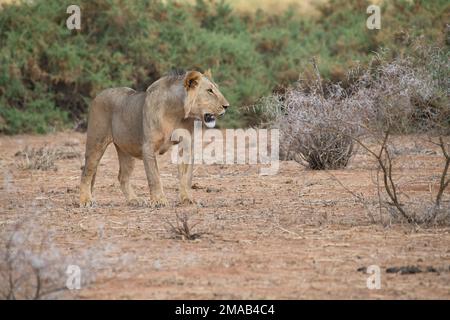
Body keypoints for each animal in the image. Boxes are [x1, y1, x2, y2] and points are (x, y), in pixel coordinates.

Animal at [78, 70, 230, 208]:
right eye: (210, 91)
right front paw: (159, 200)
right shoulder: (148, 146)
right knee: (87, 172)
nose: (227, 106)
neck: (178, 114)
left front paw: (187, 199)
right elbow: (154, 177)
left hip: (126, 150)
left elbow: (186, 177)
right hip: (96, 142)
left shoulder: (186, 146)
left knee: (122, 177)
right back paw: (86, 200)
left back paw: (134, 200)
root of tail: (99, 95)